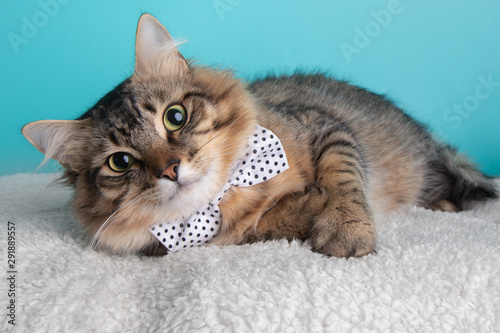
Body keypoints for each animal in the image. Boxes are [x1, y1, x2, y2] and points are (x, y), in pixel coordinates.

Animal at [21, 13, 498, 256]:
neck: (227, 194)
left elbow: (344, 181)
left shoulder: (328, 128)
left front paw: (348, 230)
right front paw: (308, 208)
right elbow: (273, 220)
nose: (171, 169)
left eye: (175, 117)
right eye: (120, 162)